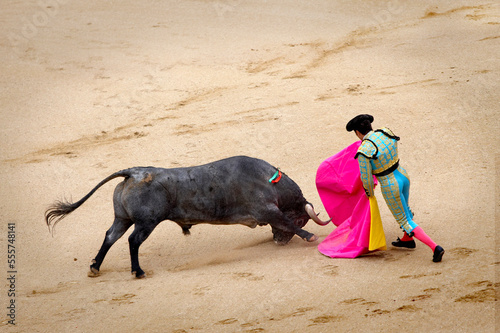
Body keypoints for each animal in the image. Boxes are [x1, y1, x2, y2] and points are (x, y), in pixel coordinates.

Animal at [45, 156, 330, 278]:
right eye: (303, 219)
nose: (279, 242)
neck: (268, 180)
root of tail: (134, 172)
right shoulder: (266, 209)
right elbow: (284, 220)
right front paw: (309, 236)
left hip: (122, 218)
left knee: (110, 236)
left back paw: (95, 267)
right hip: (146, 222)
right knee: (133, 241)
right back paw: (138, 271)